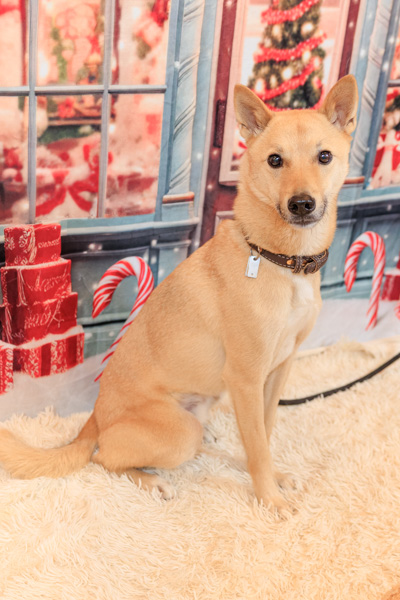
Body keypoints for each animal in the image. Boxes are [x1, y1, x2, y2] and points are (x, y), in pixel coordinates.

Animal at [0, 75, 358, 511]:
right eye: (275, 160)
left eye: (324, 156)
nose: (302, 204)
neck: (277, 259)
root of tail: (94, 418)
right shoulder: (246, 378)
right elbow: (257, 445)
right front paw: (268, 498)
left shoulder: (278, 370)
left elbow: (264, 433)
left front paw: (270, 477)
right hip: (179, 430)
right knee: (104, 458)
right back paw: (152, 481)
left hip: (203, 408)